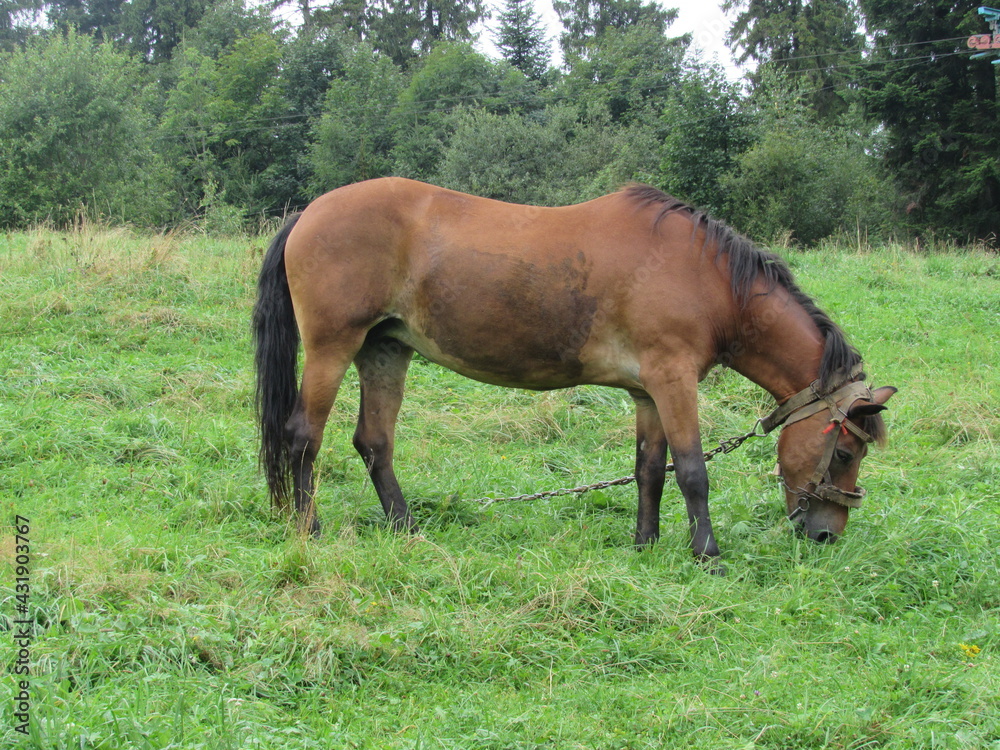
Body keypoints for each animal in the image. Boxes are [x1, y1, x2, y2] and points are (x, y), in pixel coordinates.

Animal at [254, 179, 896, 568]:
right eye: (845, 452)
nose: (826, 533)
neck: (711, 280)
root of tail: (308, 213)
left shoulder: (646, 392)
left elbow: (649, 471)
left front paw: (645, 544)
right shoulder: (674, 379)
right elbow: (691, 471)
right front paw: (706, 553)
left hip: (385, 352)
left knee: (374, 442)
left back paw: (405, 527)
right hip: (333, 348)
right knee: (303, 438)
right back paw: (309, 530)